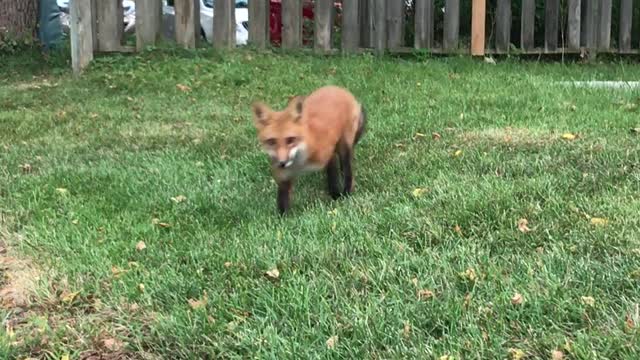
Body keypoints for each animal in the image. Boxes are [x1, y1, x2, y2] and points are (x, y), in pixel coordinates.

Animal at [252, 85, 368, 214]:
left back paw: (347, 190)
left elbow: (333, 180)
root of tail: (337, 88)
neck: (300, 164)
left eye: (290, 140)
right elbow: (282, 202)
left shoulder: (328, 155)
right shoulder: (284, 177)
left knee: (347, 168)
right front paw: (283, 218)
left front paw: (337, 197)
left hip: (344, 145)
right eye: (271, 141)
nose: (282, 163)